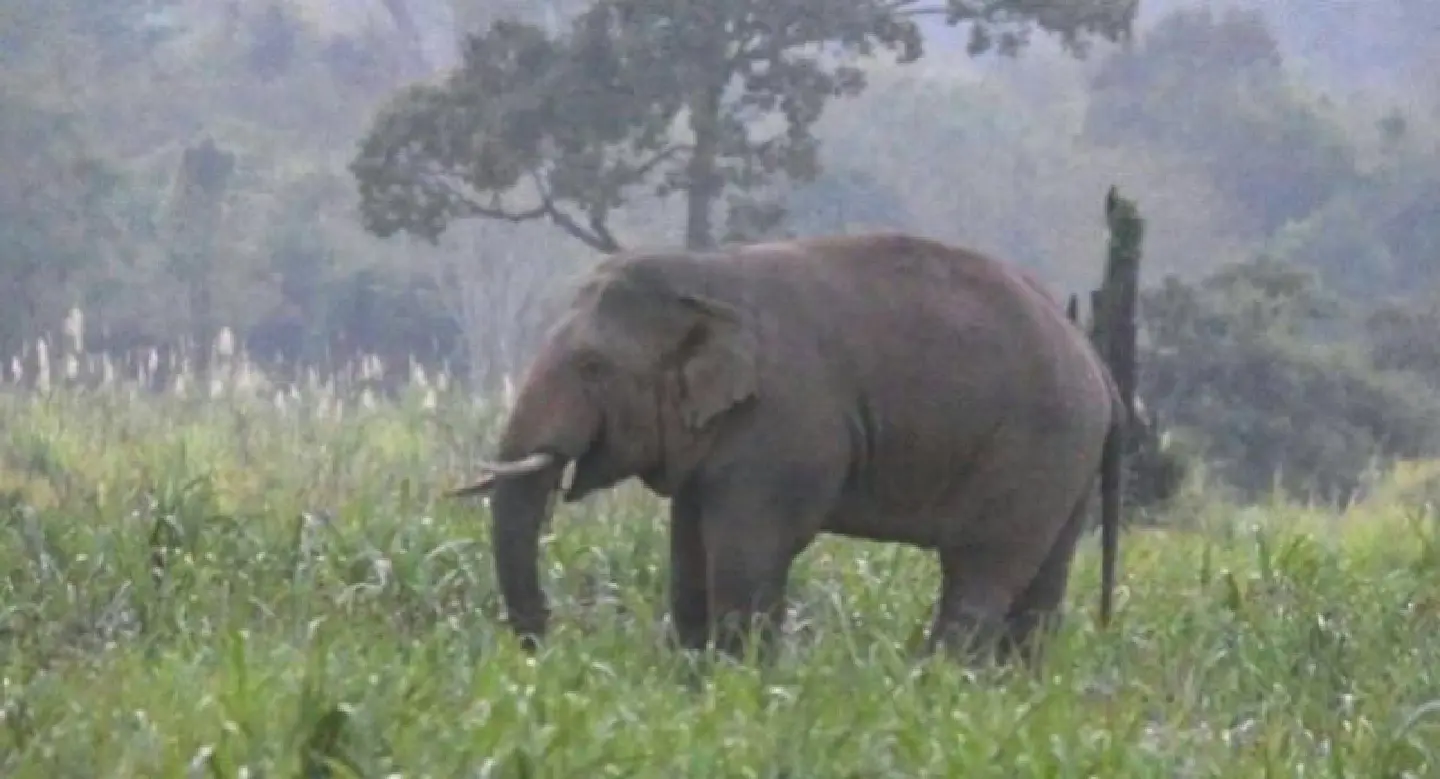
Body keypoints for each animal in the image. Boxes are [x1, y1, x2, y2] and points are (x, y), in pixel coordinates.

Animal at [448, 232, 1126, 665]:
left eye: (592, 366)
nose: (545, 650)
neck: (703, 273)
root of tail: (1098, 362)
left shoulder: (782, 427)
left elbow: (747, 553)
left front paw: (746, 682)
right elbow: (688, 550)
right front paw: (691, 677)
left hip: (1034, 447)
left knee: (980, 572)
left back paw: (936, 683)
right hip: (1065, 462)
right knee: (1042, 584)